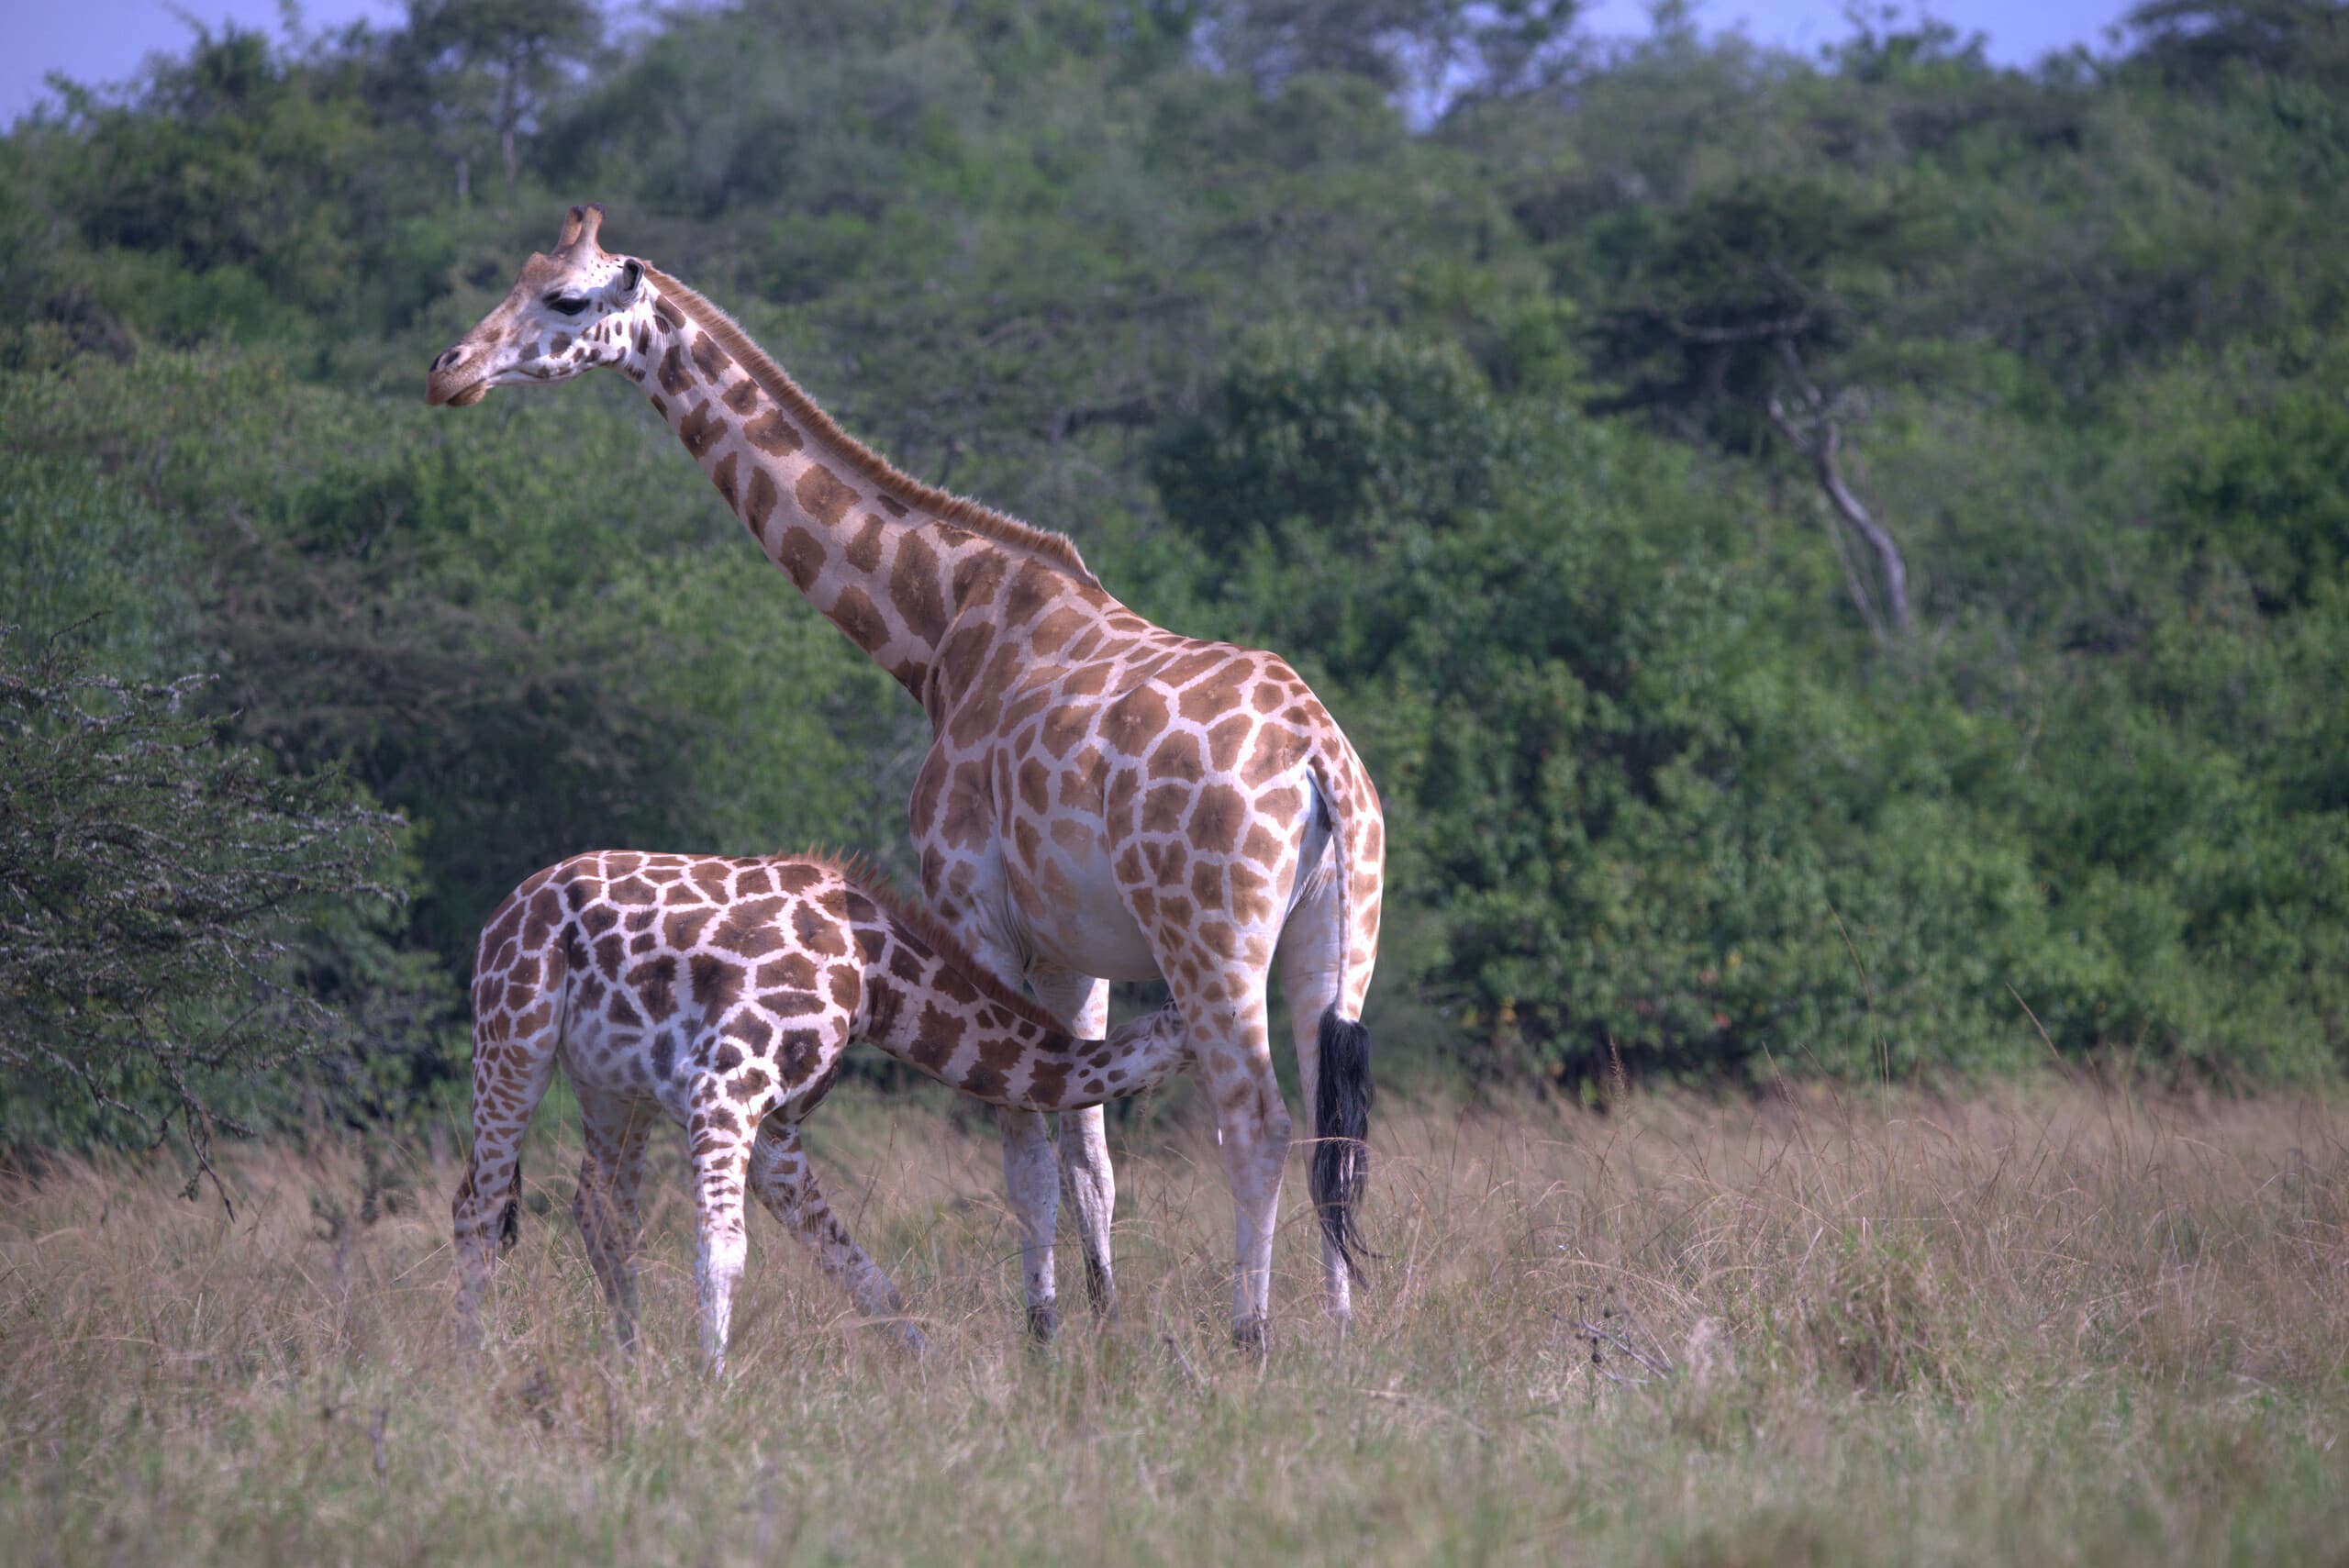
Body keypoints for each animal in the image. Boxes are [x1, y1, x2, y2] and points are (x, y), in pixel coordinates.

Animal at [455, 849, 1193, 1373]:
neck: (874, 981)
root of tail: (504, 909)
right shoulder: (724, 1082)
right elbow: (724, 1249)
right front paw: (710, 1388)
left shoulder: (779, 1127)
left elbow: (866, 1276)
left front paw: (935, 1371)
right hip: (512, 1034)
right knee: (478, 1206)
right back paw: (474, 1367)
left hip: (613, 1086)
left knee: (601, 1210)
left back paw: (629, 1364)